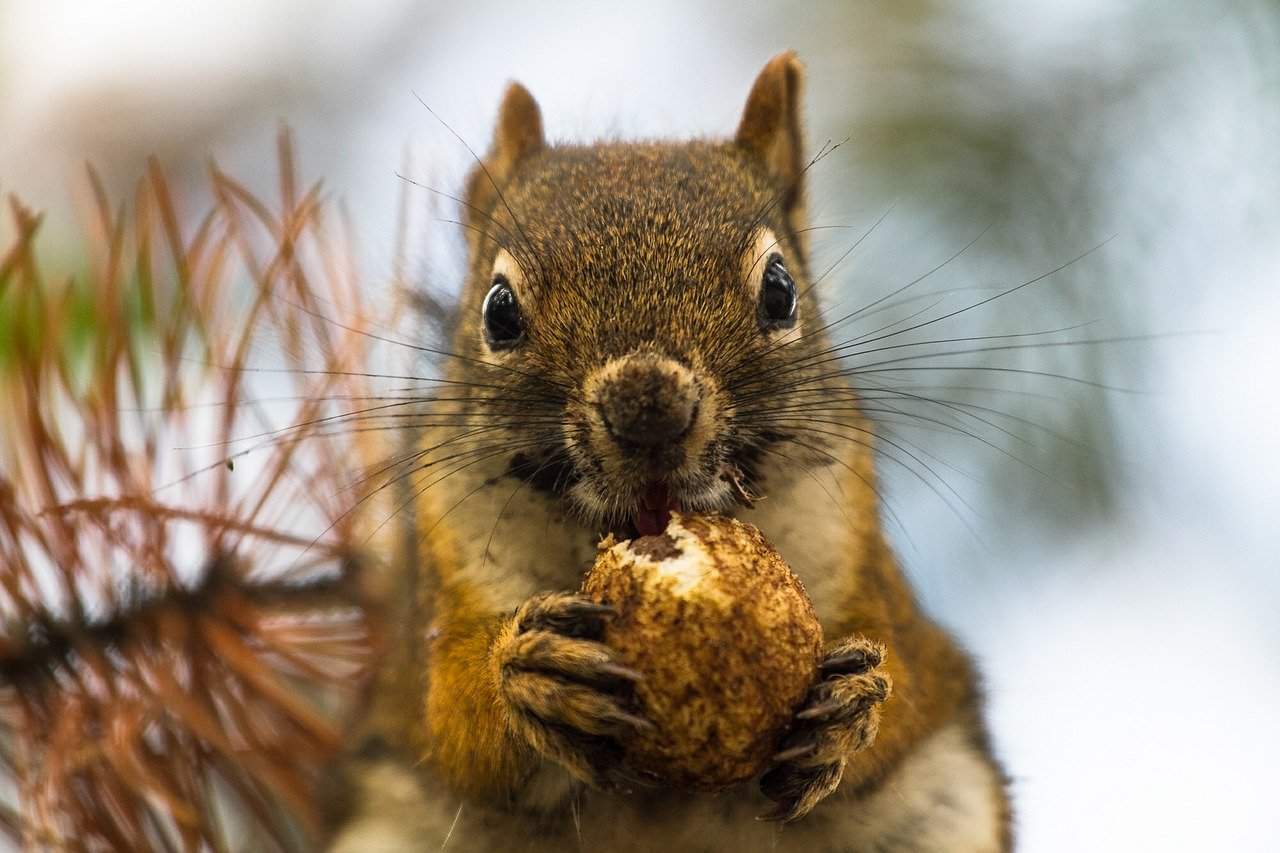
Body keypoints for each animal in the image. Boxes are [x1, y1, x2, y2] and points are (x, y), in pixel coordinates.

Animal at [328, 52, 1012, 853]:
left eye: (780, 290)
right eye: (498, 310)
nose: (648, 409)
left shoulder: (869, 576)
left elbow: (906, 687)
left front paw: (853, 707)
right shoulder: (436, 600)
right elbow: (448, 720)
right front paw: (524, 677)